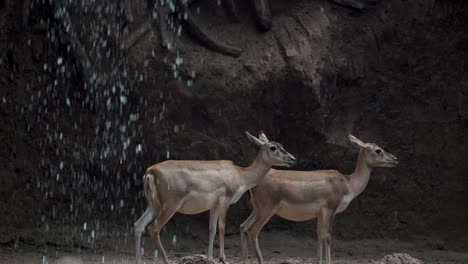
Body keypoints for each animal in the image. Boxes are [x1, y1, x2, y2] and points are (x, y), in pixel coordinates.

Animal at [134, 131, 296, 264]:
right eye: (273, 147)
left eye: (282, 145)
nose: (292, 159)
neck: (240, 175)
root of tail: (151, 171)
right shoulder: (225, 201)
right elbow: (222, 227)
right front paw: (223, 258)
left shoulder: (214, 206)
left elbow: (211, 229)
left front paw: (209, 258)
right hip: (170, 206)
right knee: (154, 228)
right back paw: (167, 260)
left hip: (154, 205)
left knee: (138, 225)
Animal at [241, 134, 398, 264]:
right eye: (378, 150)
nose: (395, 159)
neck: (347, 183)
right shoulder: (330, 209)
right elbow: (327, 236)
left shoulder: (319, 214)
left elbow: (319, 236)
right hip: (266, 211)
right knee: (253, 232)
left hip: (257, 210)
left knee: (243, 227)